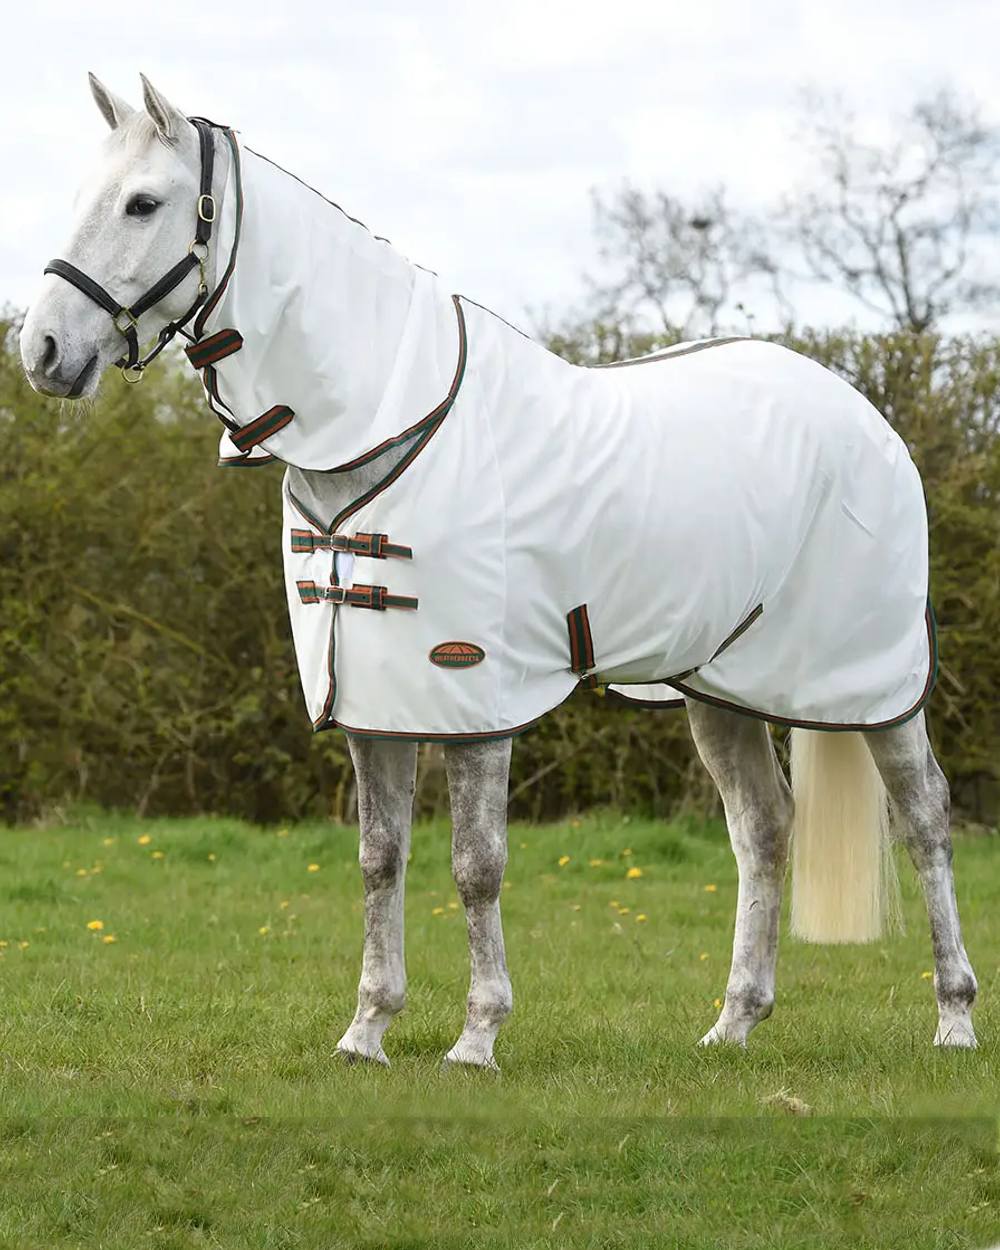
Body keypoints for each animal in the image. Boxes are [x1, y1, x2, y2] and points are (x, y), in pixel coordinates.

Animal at [21, 78, 975, 1070]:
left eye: (143, 203)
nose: (42, 349)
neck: (387, 424)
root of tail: (863, 413)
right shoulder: (373, 697)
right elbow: (380, 859)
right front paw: (367, 1030)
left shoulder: (472, 696)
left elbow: (476, 865)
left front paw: (477, 1035)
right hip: (719, 686)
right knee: (763, 828)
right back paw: (734, 1022)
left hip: (875, 684)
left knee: (925, 818)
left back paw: (952, 1019)